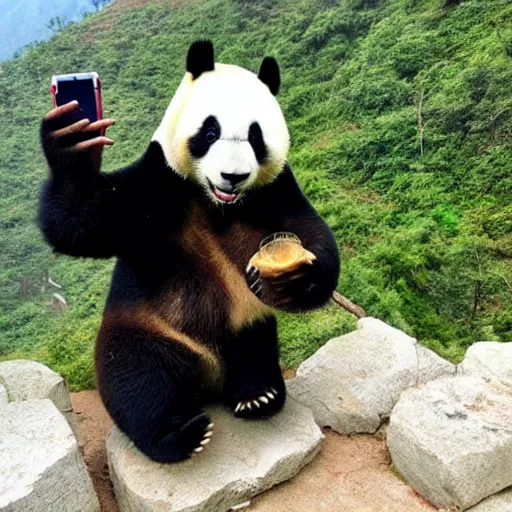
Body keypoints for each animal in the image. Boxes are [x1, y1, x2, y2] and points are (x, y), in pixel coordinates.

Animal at [40, 41, 340, 464]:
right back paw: (180, 434)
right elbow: (82, 222)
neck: (215, 201)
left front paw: (296, 278)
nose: (233, 177)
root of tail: (206, 377)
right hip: (147, 327)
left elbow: (308, 228)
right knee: (137, 380)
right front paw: (74, 140)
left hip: (244, 319)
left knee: (253, 347)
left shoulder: (275, 188)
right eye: (210, 131)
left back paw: (257, 396)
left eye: (256, 136)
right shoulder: (158, 183)